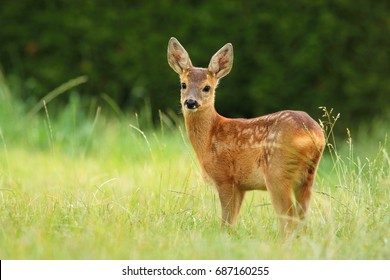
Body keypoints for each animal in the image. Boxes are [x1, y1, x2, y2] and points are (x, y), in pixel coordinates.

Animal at [166, 37, 324, 236]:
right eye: (183, 84)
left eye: (207, 87)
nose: (191, 102)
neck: (210, 137)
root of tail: (315, 135)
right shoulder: (241, 186)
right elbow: (232, 221)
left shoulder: (225, 177)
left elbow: (226, 220)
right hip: (308, 176)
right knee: (302, 216)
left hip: (277, 171)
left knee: (289, 216)